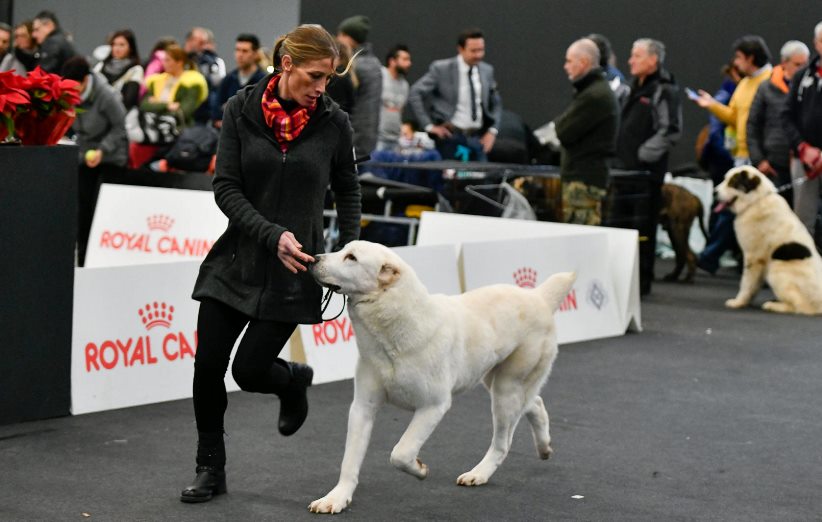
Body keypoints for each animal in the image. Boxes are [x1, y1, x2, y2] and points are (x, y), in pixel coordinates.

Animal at [306, 241, 576, 512]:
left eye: (351, 258)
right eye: (342, 250)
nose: (312, 259)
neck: (391, 333)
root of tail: (537, 296)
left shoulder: (433, 405)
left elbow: (401, 452)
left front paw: (420, 469)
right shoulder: (362, 406)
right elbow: (349, 460)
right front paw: (336, 498)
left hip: (506, 390)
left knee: (503, 442)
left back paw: (478, 474)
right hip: (496, 380)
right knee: (535, 403)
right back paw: (544, 447)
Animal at [716, 167, 820, 312]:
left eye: (732, 182)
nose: (714, 192)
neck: (755, 201)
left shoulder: (753, 257)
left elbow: (746, 282)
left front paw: (738, 302)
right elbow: (753, 285)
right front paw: (747, 301)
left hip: (776, 268)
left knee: (799, 306)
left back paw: (773, 305)